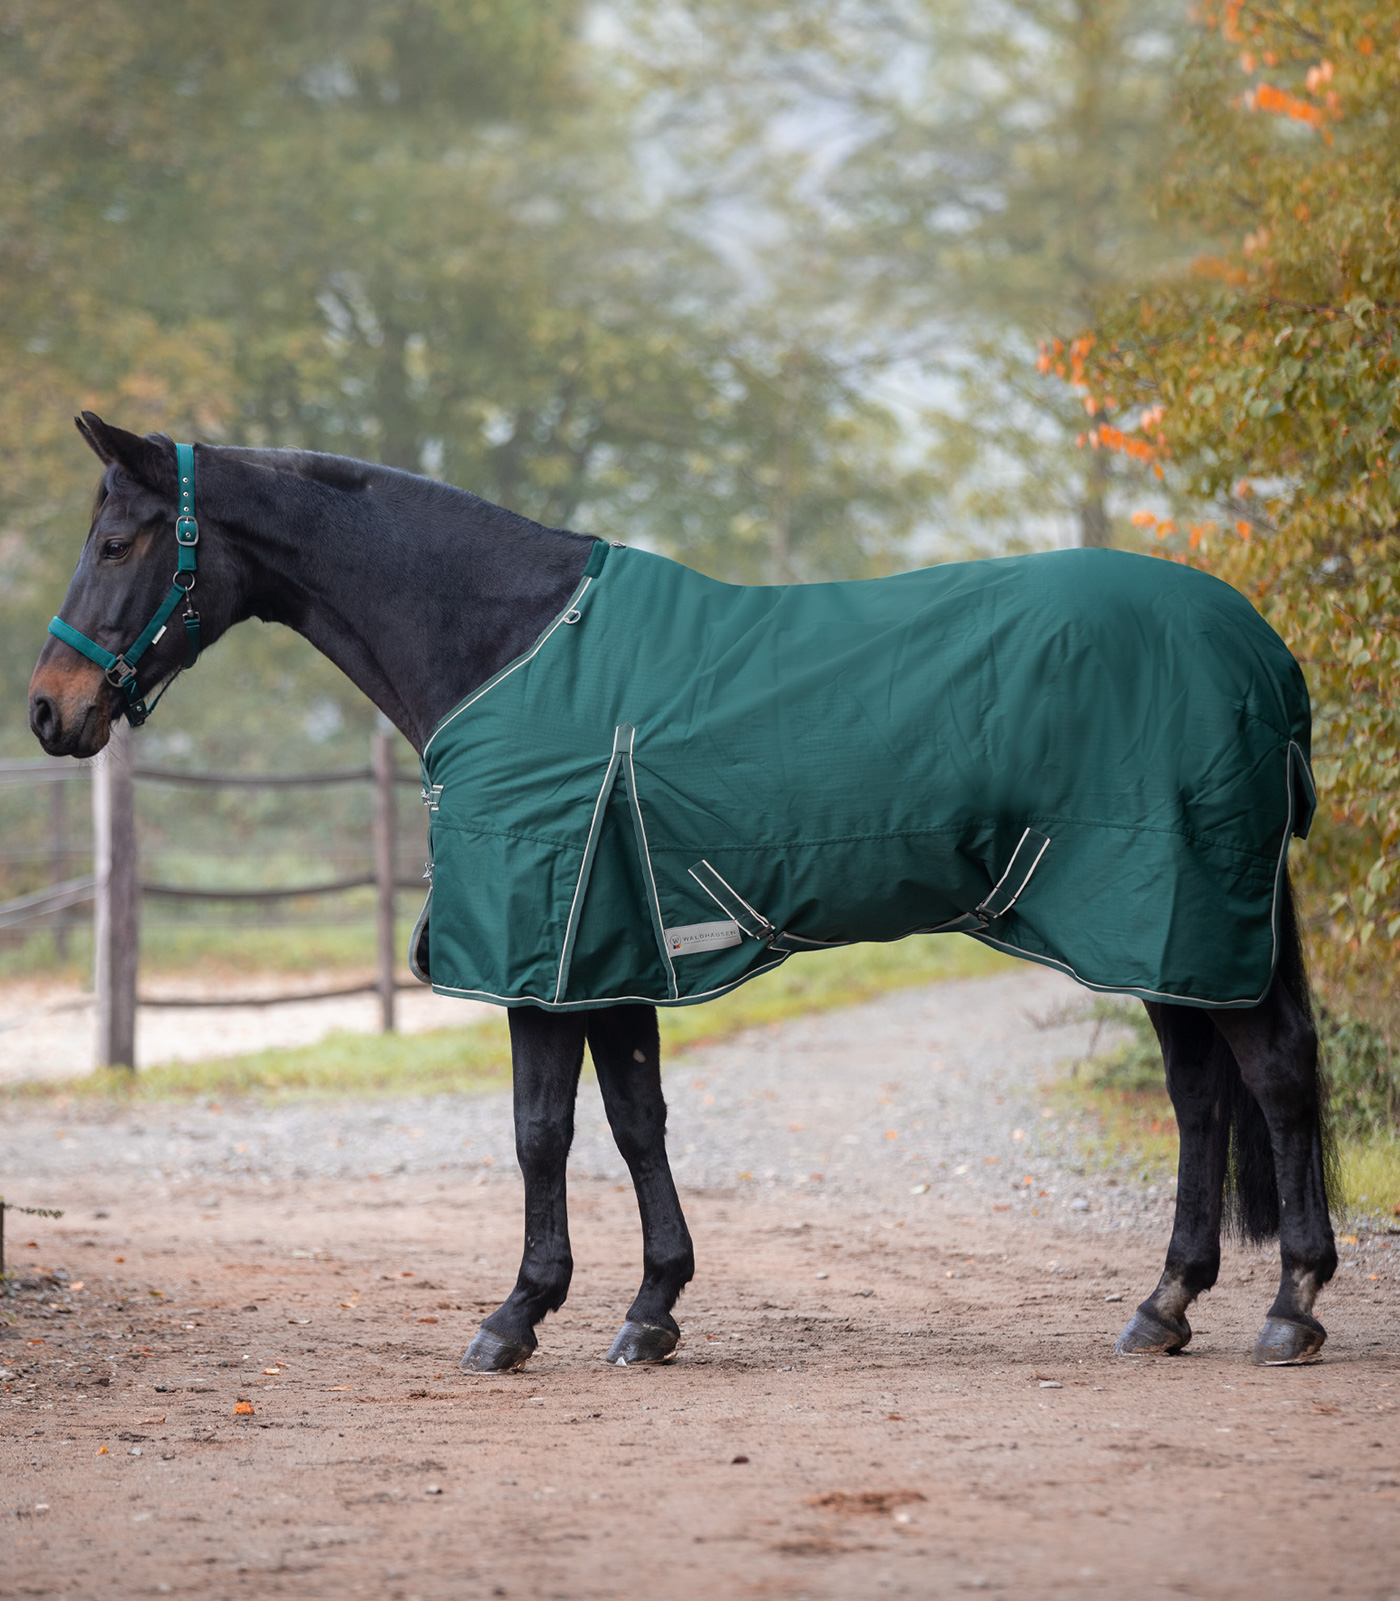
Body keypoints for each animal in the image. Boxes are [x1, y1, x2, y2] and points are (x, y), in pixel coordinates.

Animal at [24, 419, 1332, 1370]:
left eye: (120, 541)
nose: (49, 709)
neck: (509, 642)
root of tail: (1261, 649)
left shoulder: (543, 950)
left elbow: (540, 1129)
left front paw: (517, 1314)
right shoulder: (604, 950)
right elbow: (635, 1119)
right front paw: (649, 1307)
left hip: (1166, 907)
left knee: (1267, 1075)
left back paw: (1291, 1303)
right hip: (1158, 931)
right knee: (1199, 1094)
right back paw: (1164, 1303)